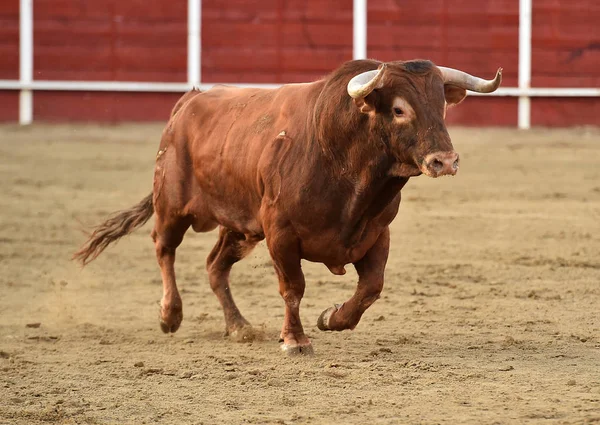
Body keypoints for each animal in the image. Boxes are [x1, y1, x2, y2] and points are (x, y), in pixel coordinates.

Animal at [74, 58, 502, 352]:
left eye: (441, 106)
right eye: (399, 109)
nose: (444, 161)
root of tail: (189, 102)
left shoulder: (376, 234)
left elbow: (371, 287)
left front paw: (332, 318)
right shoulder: (281, 234)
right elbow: (293, 287)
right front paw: (295, 340)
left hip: (241, 226)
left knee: (215, 266)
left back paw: (239, 326)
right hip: (172, 204)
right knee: (164, 248)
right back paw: (170, 315)